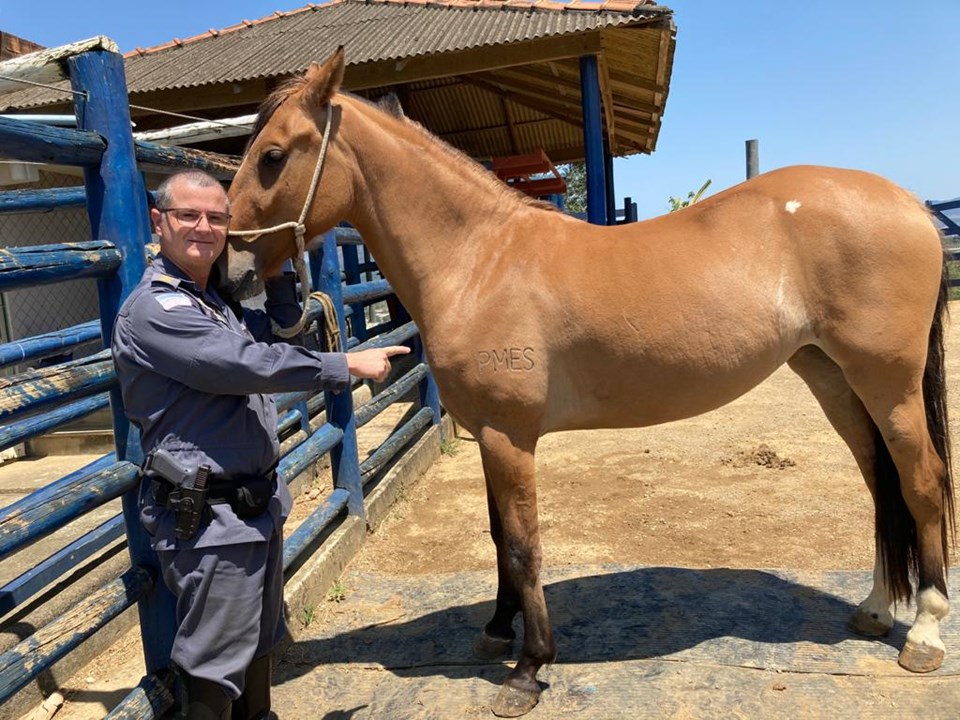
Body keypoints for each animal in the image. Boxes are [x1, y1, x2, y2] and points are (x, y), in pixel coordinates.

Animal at [223, 49, 952, 716]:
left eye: (273, 156)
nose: (230, 270)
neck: (479, 260)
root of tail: (911, 205)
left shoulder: (509, 436)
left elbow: (524, 546)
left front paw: (528, 669)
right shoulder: (488, 435)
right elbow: (498, 538)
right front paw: (497, 629)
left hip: (887, 384)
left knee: (921, 482)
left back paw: (925, 632)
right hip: (831, 376)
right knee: (880, 483)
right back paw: (876, 609)